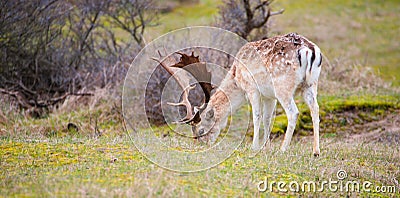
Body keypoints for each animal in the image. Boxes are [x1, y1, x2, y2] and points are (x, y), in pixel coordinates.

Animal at [158, 32, 324, 156]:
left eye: (201, 130)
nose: (200, 146)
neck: (236, 76)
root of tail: (309, 50)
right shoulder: (269, 96)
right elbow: (267, 118)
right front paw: (266, 147)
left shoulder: (252, 88)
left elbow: (256, 116)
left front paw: (254, 147)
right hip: (310, 84)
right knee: (315, 108)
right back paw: (316, 151)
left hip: (283, 86)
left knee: (293, 112)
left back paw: (283, 149)